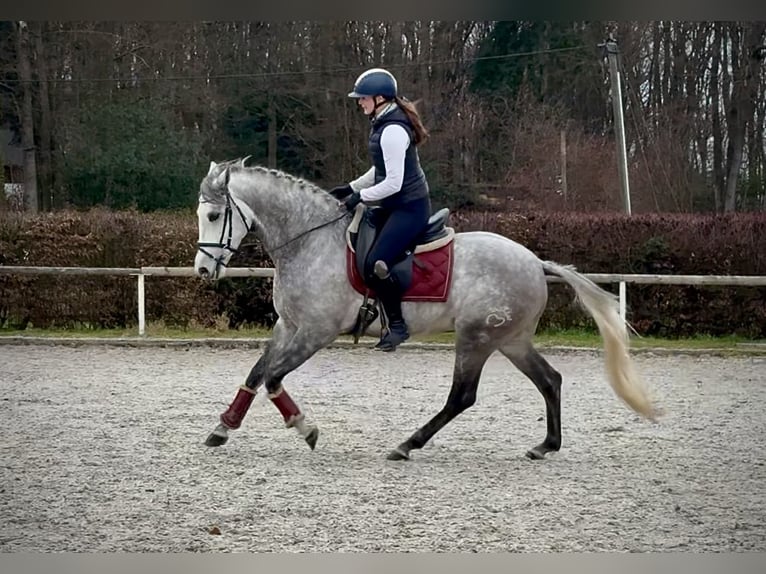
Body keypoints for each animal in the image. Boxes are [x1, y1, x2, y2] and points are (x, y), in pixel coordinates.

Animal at [194, 157, 661, 461]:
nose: (202, 270)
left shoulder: (314, 332)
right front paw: (222, 427)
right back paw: (545, 446)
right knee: (550, 380)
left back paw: (407, 445)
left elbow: (274, 378)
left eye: (215, 215)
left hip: (476, 338)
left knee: (462, 396)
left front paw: (306, 429)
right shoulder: (286, 326)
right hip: (511, 340)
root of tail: (534, 262)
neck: (310, 240)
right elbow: (256, 374)